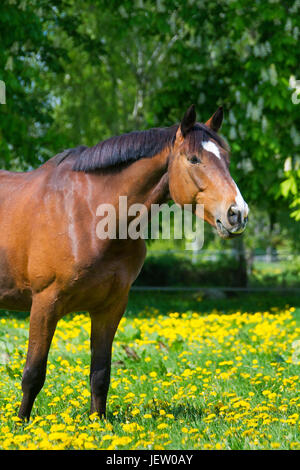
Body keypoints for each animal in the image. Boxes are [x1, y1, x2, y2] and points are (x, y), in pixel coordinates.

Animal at [0, 104, 248, 420]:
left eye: (226, 159)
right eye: (194, 159)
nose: (237, 213)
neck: (87, 213)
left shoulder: (110, 307)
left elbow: (100, 373)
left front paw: (97, 423)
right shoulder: (45, 304)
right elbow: (33, 374)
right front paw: (22, 424)